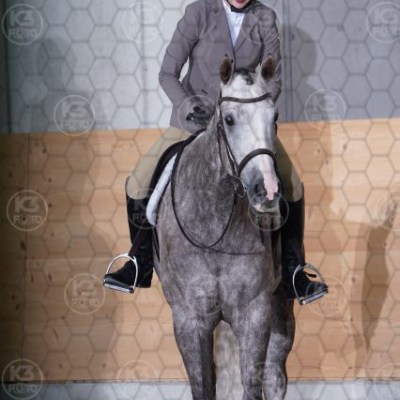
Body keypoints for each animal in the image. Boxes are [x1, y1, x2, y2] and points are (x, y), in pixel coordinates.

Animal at [152, 56, 295, 400]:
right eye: (228, 120)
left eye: (274, 117)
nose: (267, 190)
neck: (215, 227)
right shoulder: (190, 318)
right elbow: (203, 387)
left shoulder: (255, 312)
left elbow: (252, 386)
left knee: (274, 375)